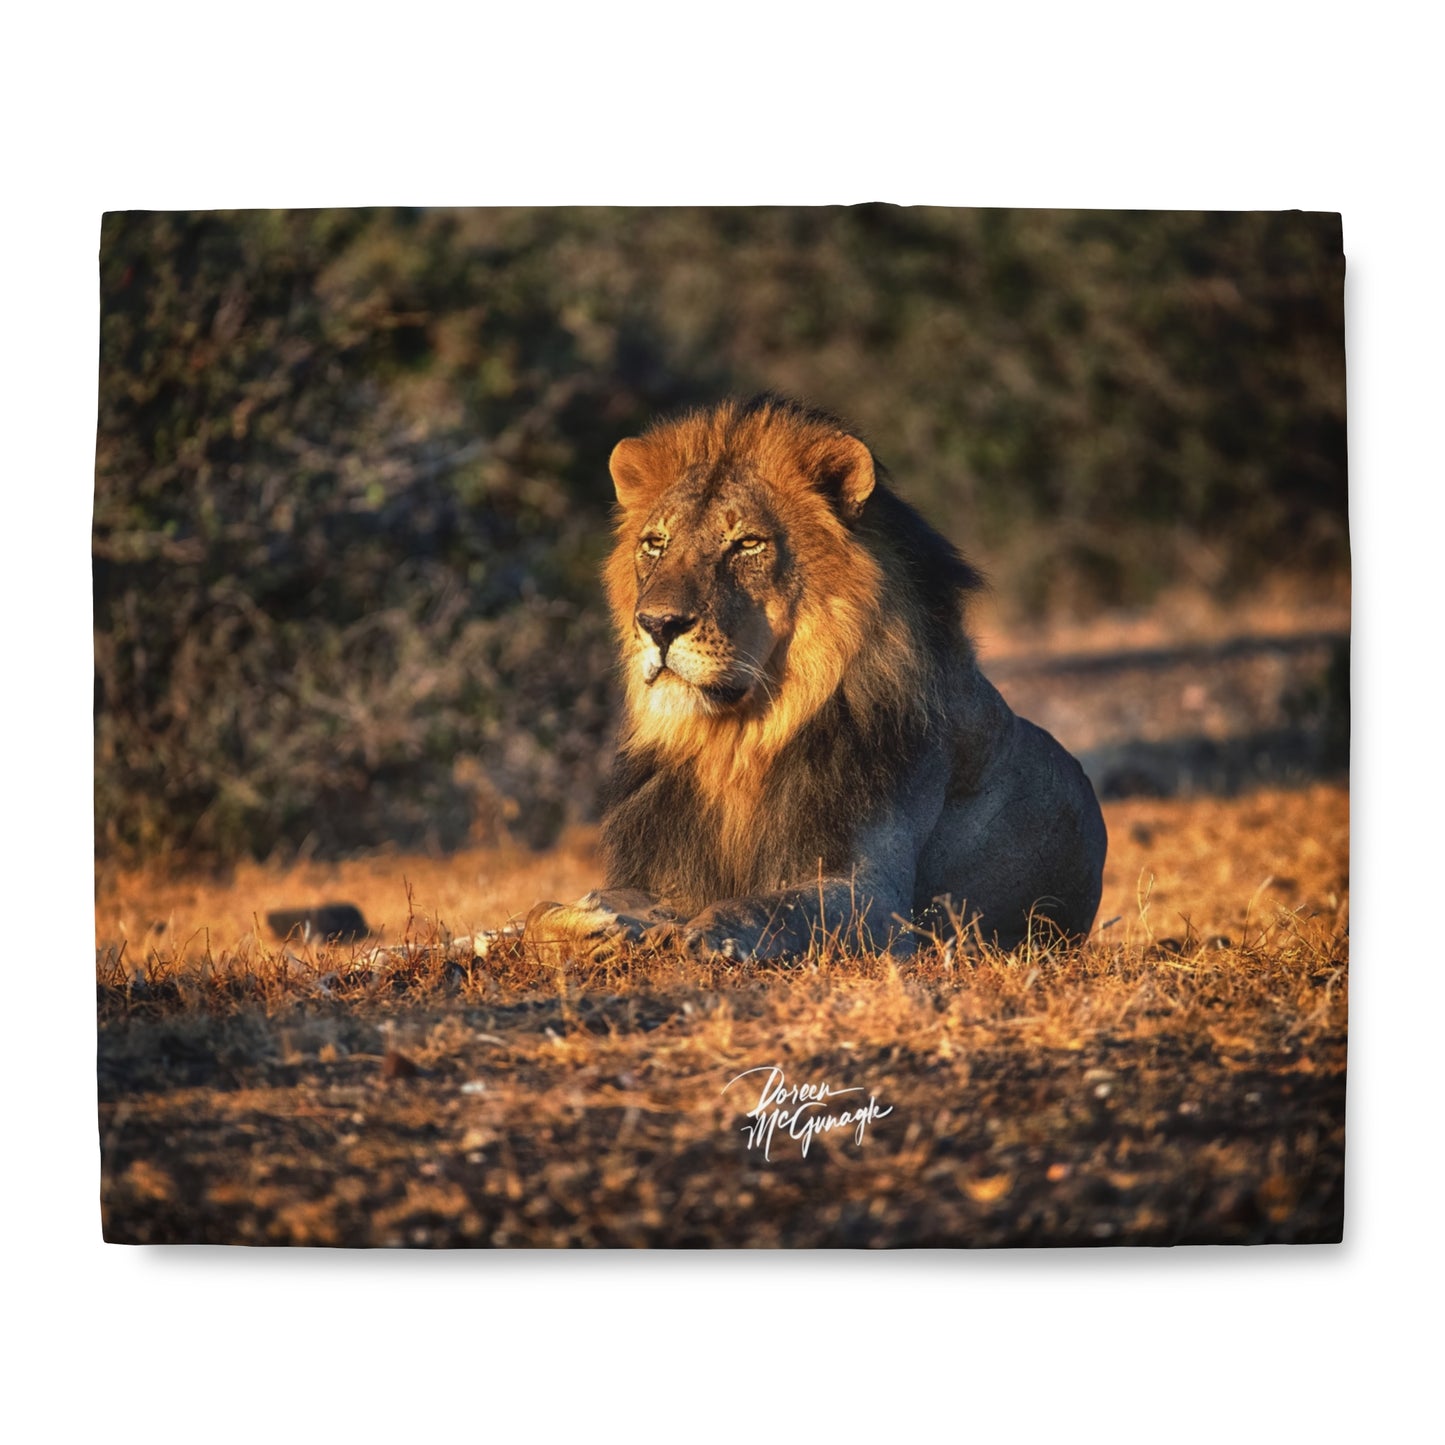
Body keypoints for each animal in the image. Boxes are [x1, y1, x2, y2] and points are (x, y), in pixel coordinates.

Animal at [525, 395, 1106, 962]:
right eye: (654, 543)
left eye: (747, 544)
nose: (656, 624)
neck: (736, 742)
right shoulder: (665, 874)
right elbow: (540, 910)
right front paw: (588, 922)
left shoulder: (878, 897)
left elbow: (767, 905)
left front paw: (708, 935)